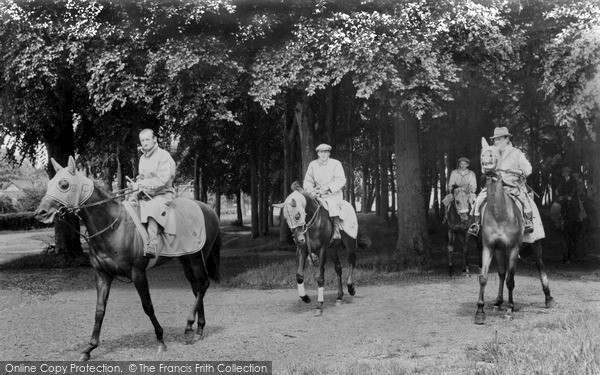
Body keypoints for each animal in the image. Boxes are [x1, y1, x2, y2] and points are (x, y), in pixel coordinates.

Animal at [33, 156, 220, 362]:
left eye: (64, 184)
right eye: (50, 182)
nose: (40, 212)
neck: (114, 226)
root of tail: (207, 209)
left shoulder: (138, 273)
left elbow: (148, 306)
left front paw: (160, 340)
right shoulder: (103, 275)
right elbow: (99, 311)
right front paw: (89, 348)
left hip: (197, 257)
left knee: (203, 285)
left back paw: (188, 326)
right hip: (185, 259)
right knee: (196, 288)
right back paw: (198, 329)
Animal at [278, 182, 360, 318]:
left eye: (297, 215)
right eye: (285, 218)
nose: (298, 239)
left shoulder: (322, 250)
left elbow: (320, 278)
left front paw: (319, 306)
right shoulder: (303, 250)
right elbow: (299, 276)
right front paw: (305, 298)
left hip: (350, 242)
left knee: (351, 261)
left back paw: (351, 288)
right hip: (332, 248)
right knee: (338, 268)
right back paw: (339, 297)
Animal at [474, 141, 552, 326]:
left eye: (496, 153)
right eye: (482, 152)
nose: (486, 160)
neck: (499, 214)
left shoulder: (514, 248)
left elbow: (511, 279)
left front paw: (510, 309)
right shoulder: (489, 247)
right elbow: (484, 277)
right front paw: (480, 311)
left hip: (535, 244)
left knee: (540, 265)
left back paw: (548, 298)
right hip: (500, 250)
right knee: (502, 273)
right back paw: (498, 302)